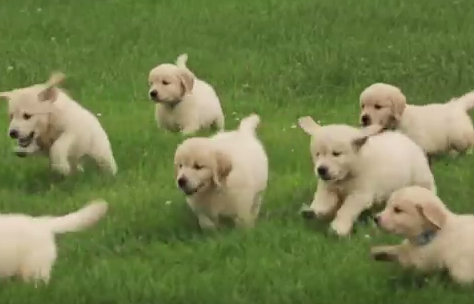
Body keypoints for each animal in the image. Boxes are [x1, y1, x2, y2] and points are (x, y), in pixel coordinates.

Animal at [298, 116, 436, 238]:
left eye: (336, 154)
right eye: (317, 154)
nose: (321, 169)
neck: (346, 176)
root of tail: (404, 137)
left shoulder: (361, 193)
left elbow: (346, 209)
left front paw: (338, 228)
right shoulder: (328, 186)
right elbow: (323, 201)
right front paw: (312, 211)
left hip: (420, 176)